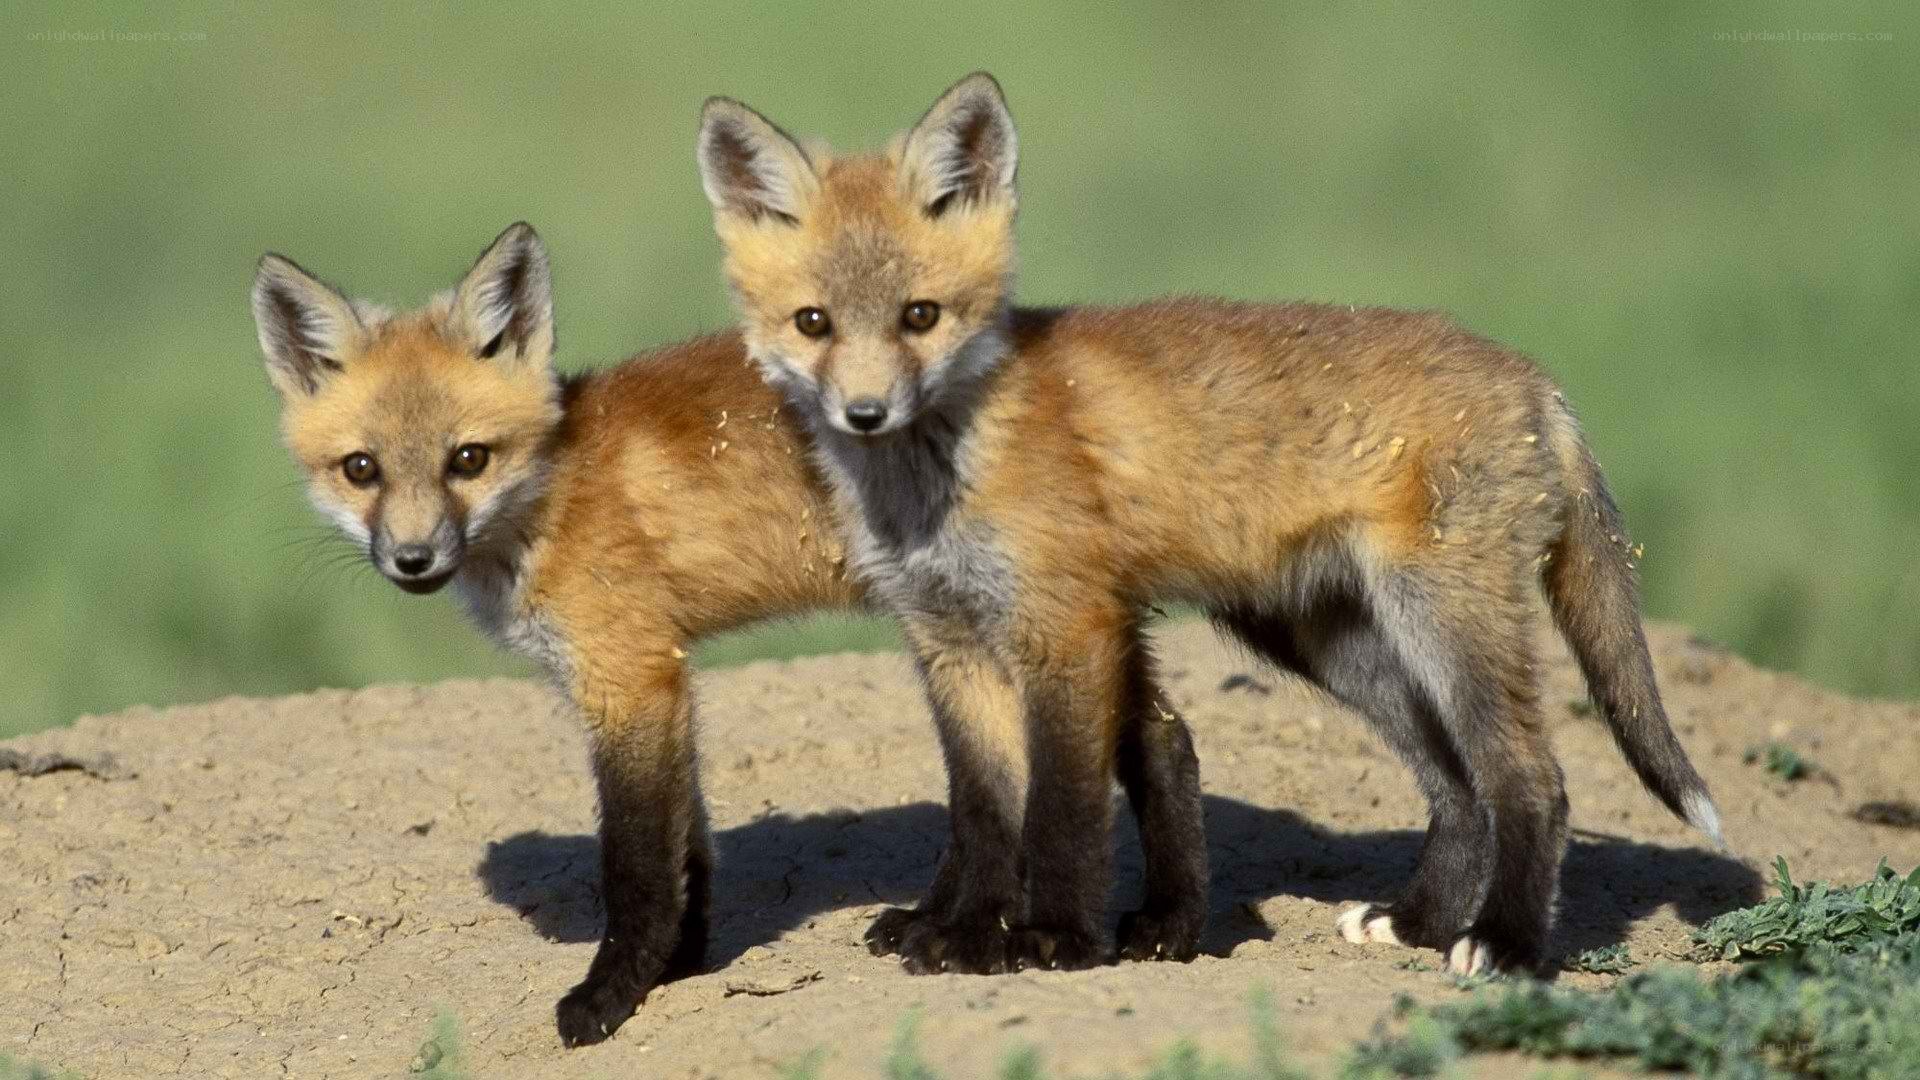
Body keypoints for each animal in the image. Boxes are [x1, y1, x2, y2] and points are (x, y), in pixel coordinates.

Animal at [251, 223, 1209, 1045]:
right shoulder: (663, 679)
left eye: (468, 460)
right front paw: (679, 968)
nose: (412, 560)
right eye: (362, 470)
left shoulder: (630, 678)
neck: (551, 497)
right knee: (1168, 739)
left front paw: (611, 995)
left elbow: (636, 864)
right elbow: (689, 846)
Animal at [694, 73, 1724, 978]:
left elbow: (1061, 808)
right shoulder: (948, 641)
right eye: (814, 322)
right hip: (1326, 639)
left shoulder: (1069, 626)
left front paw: (1054, 939)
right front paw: (960, 930)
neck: (941, 474)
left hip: (1441, 621)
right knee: (1460, 790)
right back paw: (1420, 923)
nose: (865, 413)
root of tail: (1539, 380)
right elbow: (982, 811)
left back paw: (1503, 944)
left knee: (1531, 782)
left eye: (921, 316)